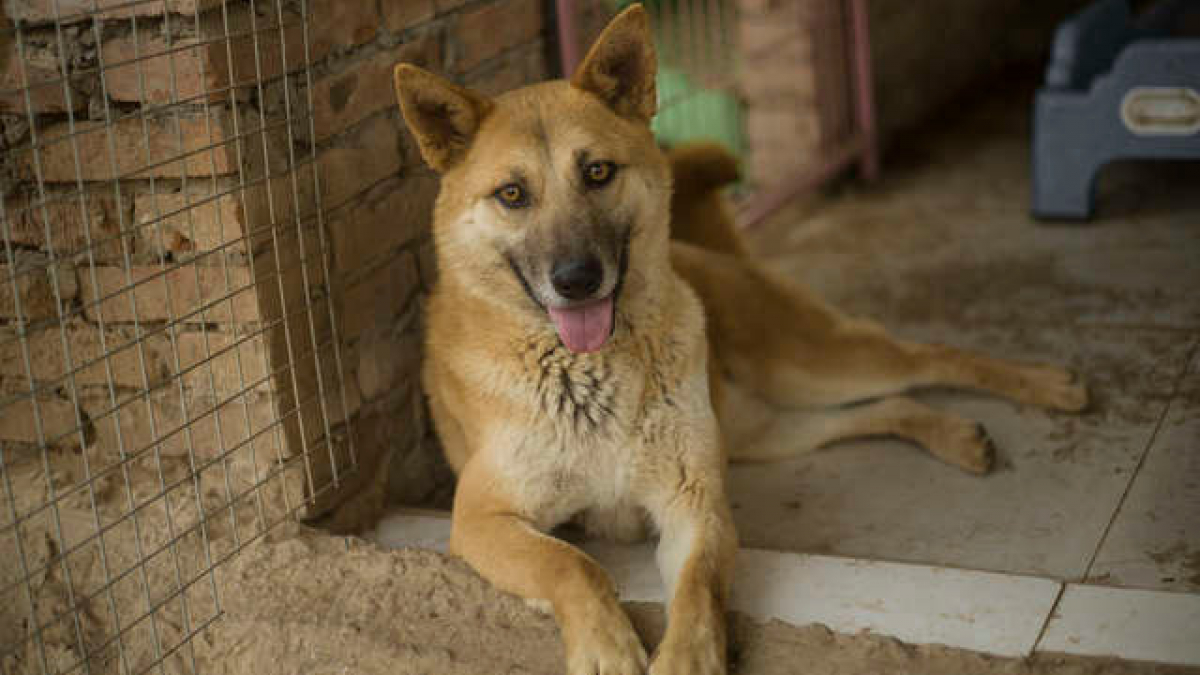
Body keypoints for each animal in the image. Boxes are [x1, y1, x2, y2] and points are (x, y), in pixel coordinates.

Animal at [393, 6, 1089, 672]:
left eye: (597, 172)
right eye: (512, 194)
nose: (577, 280)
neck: (590, 370)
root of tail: (706, 254)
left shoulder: (696, 506)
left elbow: (699, 589)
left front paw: (687, 658)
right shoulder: (481, 520)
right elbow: (572, 564)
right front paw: (606, 646)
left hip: (808, 365)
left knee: (925, 357)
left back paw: (1046, 384)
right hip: (767, 427)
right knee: (881, 407)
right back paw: (953, 434)